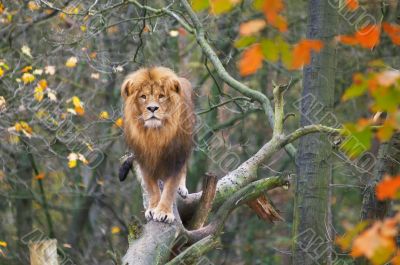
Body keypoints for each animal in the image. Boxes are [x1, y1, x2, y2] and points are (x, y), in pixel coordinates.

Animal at [121, 65, 195, 222]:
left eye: (161, 96)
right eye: (143, 96)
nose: (152, 108)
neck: (155, 135)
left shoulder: (176, 157)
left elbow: (169, 188)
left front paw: (164, 212)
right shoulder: (144, 160)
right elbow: (152, 188)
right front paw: (153, 208)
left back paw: (182, 188)